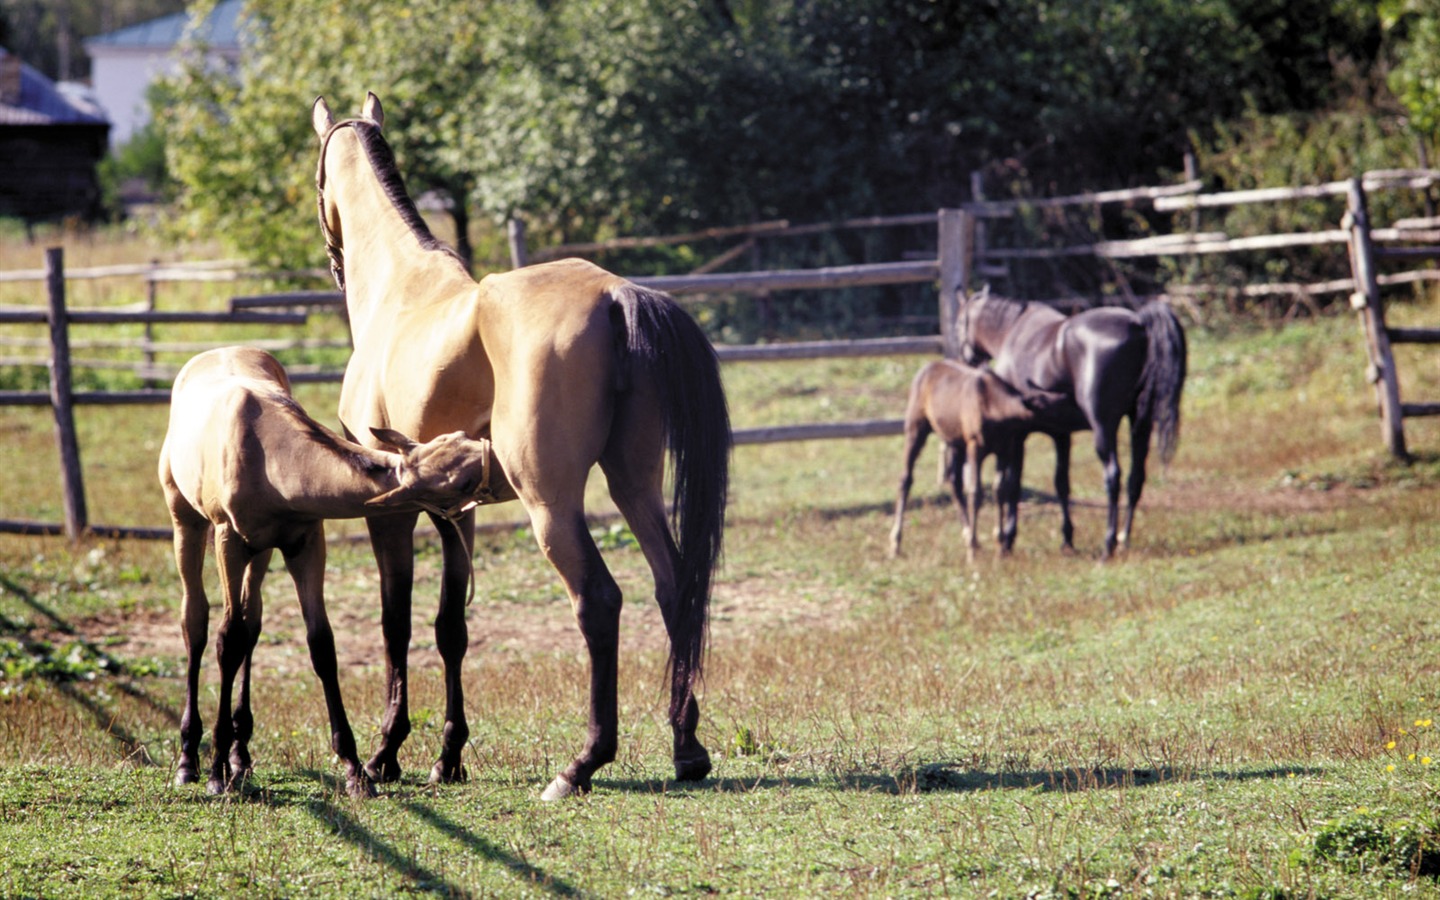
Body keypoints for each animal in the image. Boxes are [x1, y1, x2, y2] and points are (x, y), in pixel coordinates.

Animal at [159, 344, 498, 794]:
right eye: (460, 481)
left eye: (461, 439)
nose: (498, 458)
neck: (266, 455)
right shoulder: (229, 540)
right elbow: (226, 641)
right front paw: (215, 771)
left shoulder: (305, 543)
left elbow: (320, 644)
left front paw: (353, 766)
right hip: (188, 522)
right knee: (195, 623)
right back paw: (189, 757)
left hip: (261, 554)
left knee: (252, 623)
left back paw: (240, 755)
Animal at [308, 91, 725, 794]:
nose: (334, 262)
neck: (403, 292)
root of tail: (614, 293)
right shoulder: (457, 512)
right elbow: (451, 627)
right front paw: (447, 756)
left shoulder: (391, 513)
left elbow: (397, 624)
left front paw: (386, 752)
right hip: (633, 484)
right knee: (673, 587)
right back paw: (686, 748)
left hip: (550, 508)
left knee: (600, 601)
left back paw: (582, 763)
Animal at [961, 288, 1186, 555]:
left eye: (960, 321)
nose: (967, 358)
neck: (1013, 331)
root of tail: (1138, 323)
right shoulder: (1061, 434)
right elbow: (1062, 484)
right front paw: (1067, 539)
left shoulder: (1018, 435)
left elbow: (1011, 485)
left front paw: (1008, 539)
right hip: (1140, 425)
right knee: (1136, 479)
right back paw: (1123, 539)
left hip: (1104, 429)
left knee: (1113, 476)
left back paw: (1108, 544)